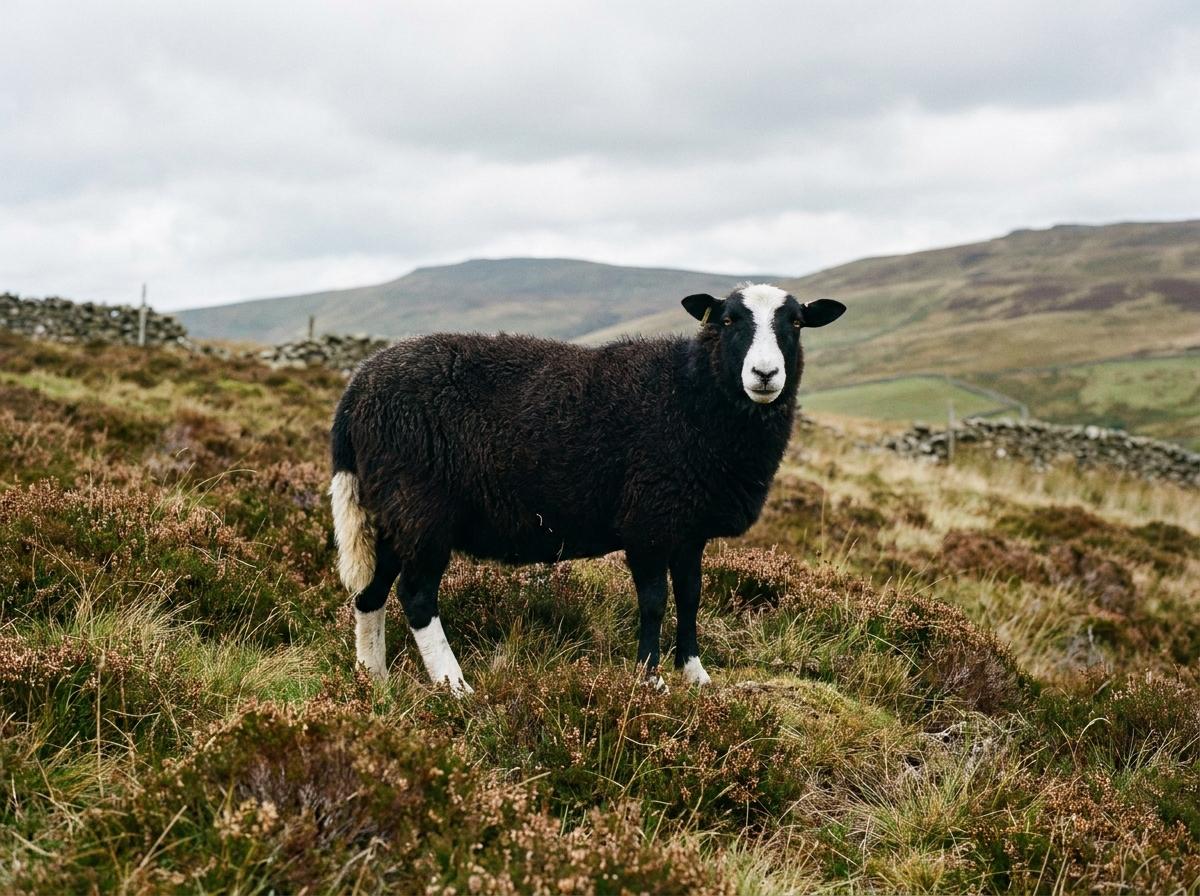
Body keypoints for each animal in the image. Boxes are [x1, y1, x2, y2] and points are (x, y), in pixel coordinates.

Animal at [329, 284, 845, 692]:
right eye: (728, 320)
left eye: (796, 322)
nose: (765, 375)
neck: (691, 392)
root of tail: (357, 388)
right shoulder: (648, 522)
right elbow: (655, 601)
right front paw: (650, 679)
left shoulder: (688, 528)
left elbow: (691, 596)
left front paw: (696, 675)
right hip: (420, 506)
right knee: (416, 596)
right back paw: (454, 686)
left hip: (389, 511)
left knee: (370, 594)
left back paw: (372, 681)